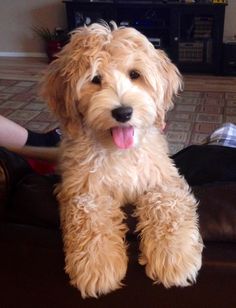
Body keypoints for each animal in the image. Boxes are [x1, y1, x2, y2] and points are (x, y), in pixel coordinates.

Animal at [40, 22, 203, 298]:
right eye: (95, 79)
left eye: (135, 74)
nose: (123, 112)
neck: (120, 152)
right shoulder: (83, 190)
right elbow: (90, 219)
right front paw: (97, 266)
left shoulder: (164, 180)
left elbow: (168, 206)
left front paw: (174, 258)